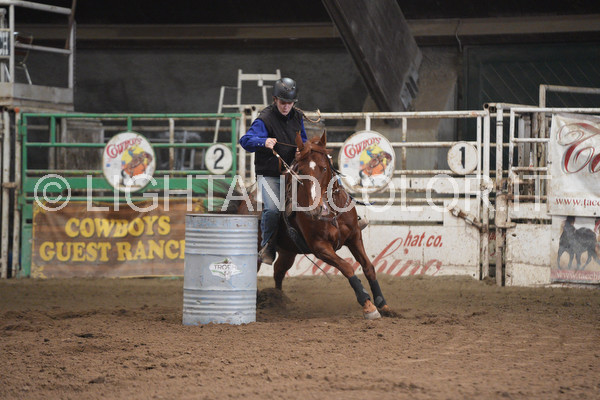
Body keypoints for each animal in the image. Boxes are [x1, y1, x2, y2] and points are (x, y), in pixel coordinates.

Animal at [251, 130, 394, 319]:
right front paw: (368, 305)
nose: (316, 208)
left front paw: (383, 304)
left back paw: (278, 300)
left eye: (324, 168)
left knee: (279, 271)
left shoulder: (355, 237)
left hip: (288, 251)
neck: (331, 212)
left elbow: (369, 267)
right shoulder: (320, 247)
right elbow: (347, 267)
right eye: (300, 171)